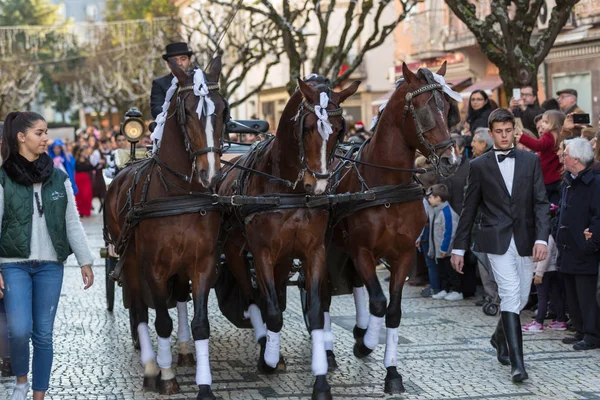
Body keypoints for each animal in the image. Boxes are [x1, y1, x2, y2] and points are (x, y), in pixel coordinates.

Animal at [104, 57, 226, 400]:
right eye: (188, 112)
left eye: (223, 109)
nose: (211, 175)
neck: (178, 194)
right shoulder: (153, 267)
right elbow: (160, 322)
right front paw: (166, 375)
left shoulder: (202, 263)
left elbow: (200, 323)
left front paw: (204, 385)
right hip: (129, 260)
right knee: (139, 308)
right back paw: (150, 366)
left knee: (180, 298)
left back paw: (182, 351)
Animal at [218, 76, 358, 400]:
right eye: (307, 127)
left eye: (340, 129)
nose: (318, 185)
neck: (288, 190)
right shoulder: (262, 252)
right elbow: (270, 309)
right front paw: (269, 359)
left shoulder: (314, 250)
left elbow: (317, 312)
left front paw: (321, 381)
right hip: (235, 251)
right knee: (252, 298)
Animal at [326, 61, 462, 394]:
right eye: (425, 111)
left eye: (448, 108)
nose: (452, 161)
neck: (386, 186)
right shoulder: (362, 250)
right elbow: (378, 302)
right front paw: (366, 344)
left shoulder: (404, 255)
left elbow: (394, 310)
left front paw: (391, 372)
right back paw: (331, 351)